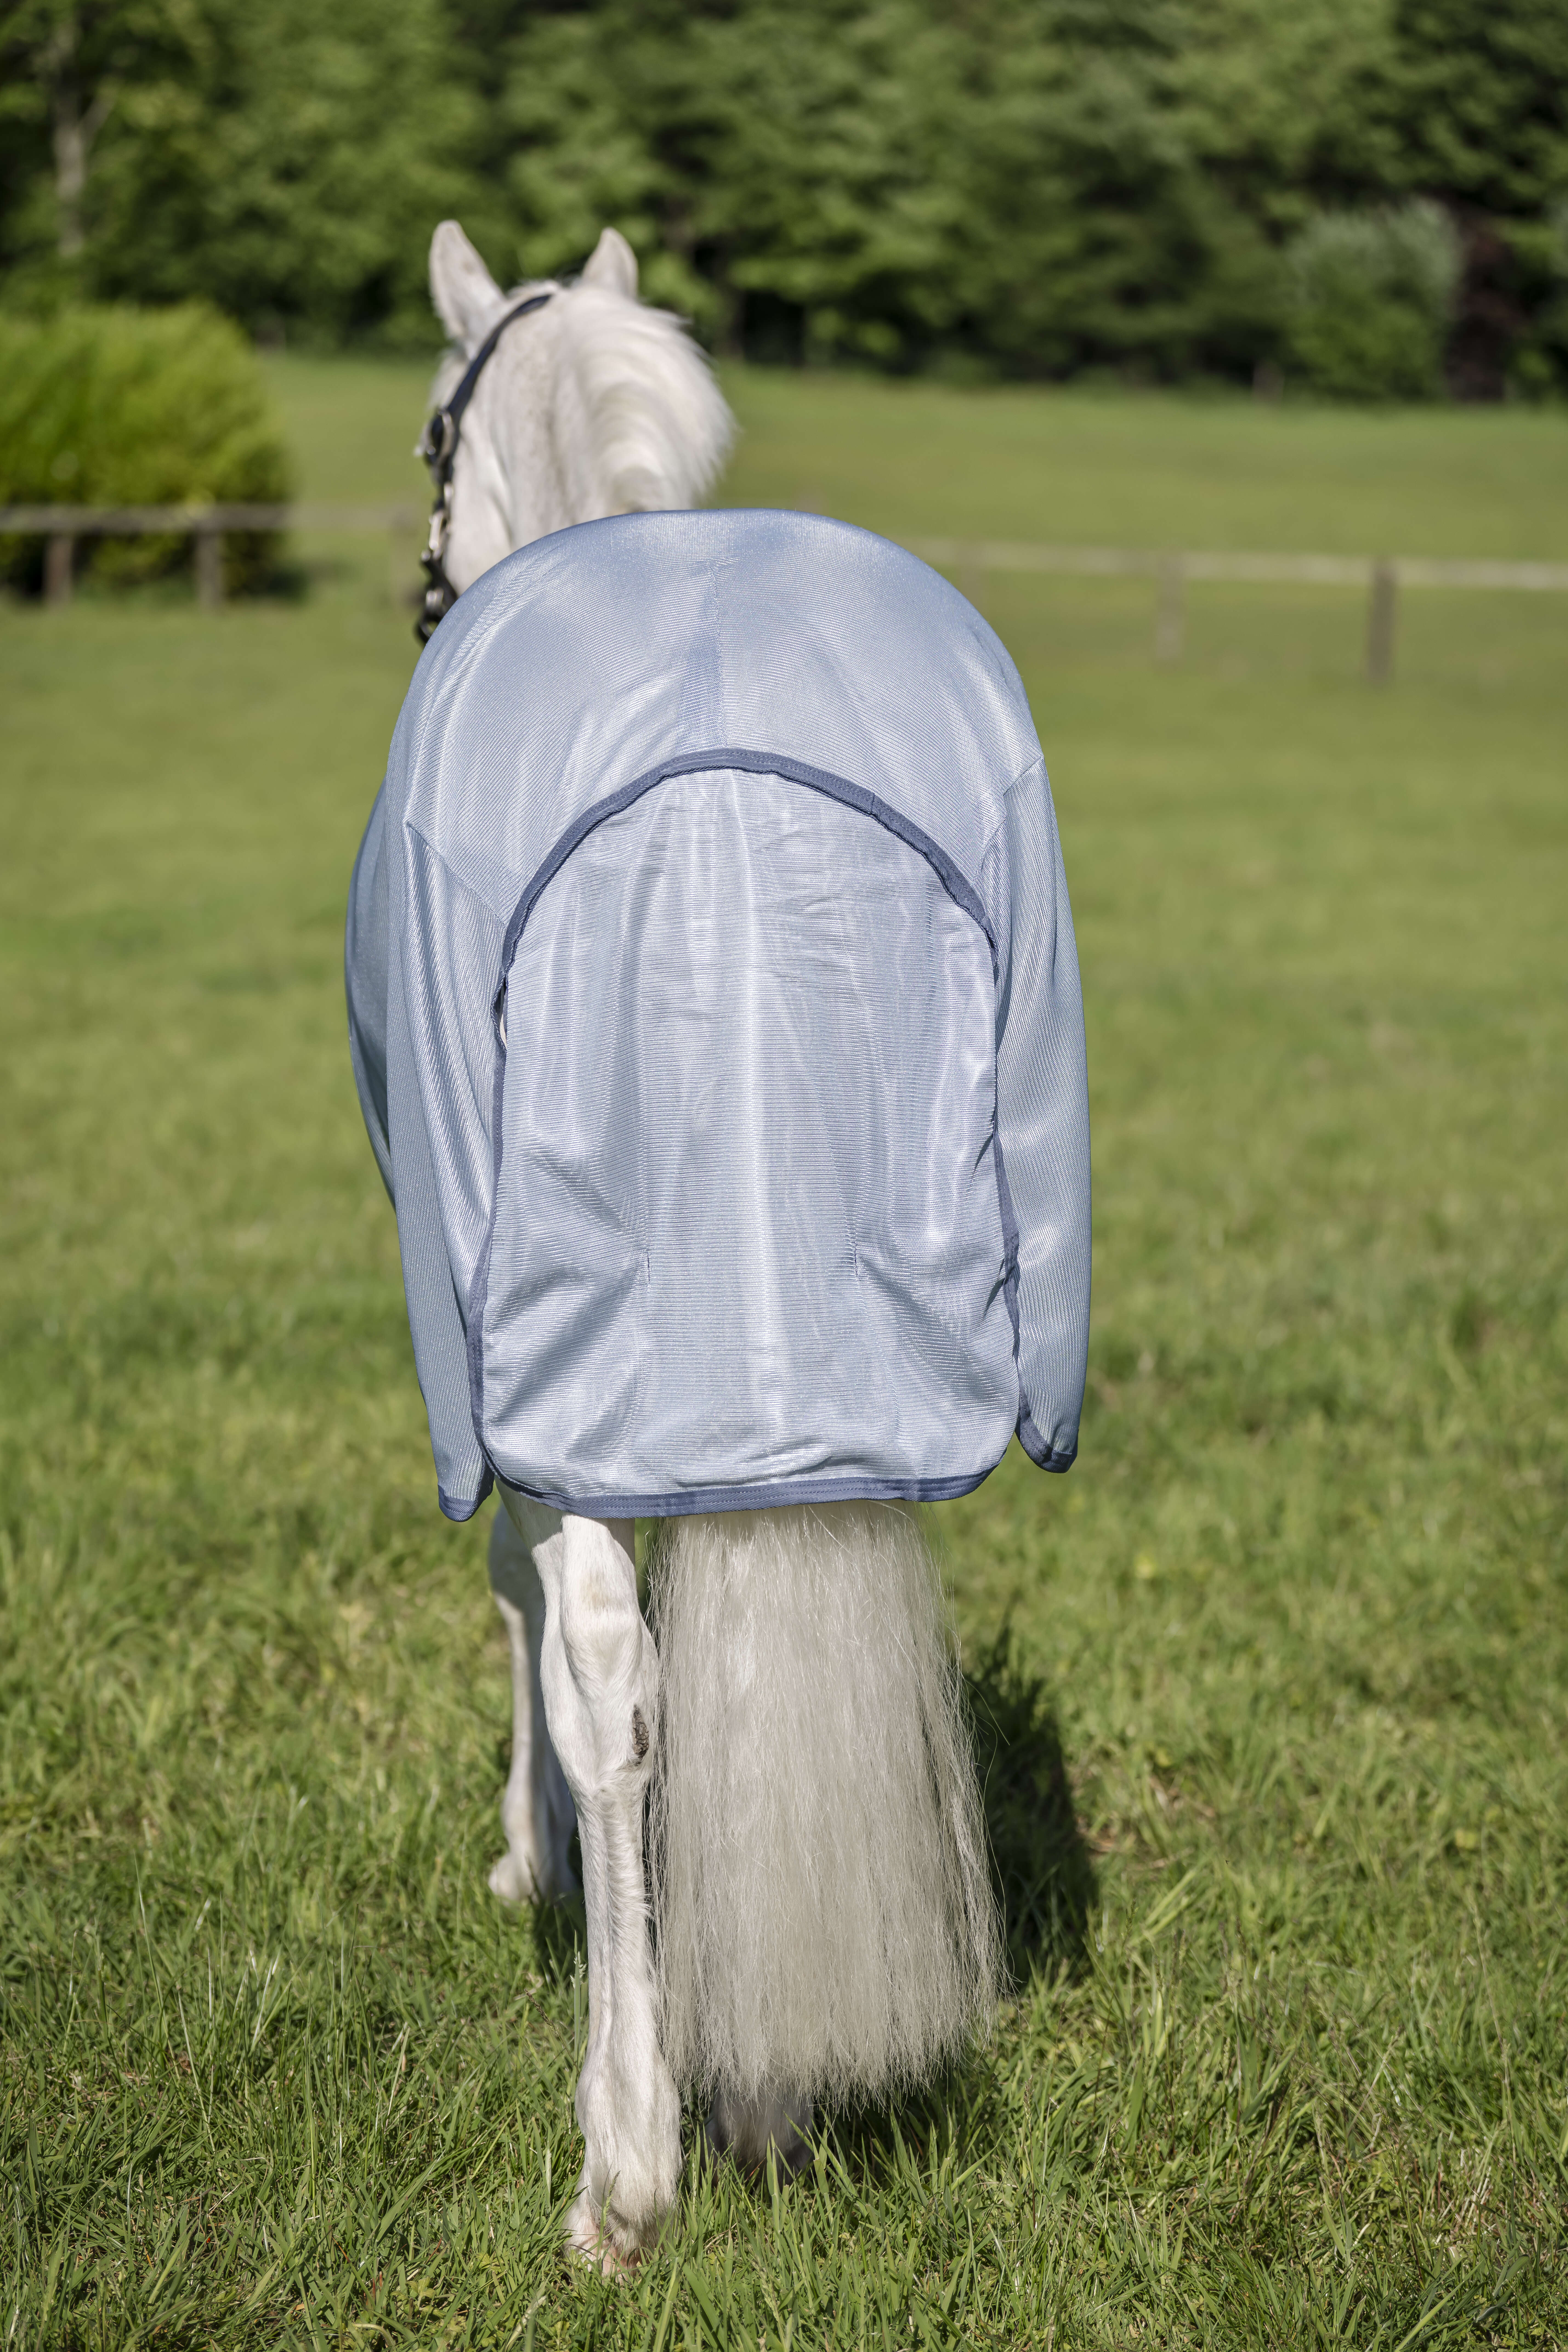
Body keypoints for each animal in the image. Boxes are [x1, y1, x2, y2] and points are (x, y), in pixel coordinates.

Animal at [345, 220, 1091, 2273]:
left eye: (430, 439)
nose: (420, 583)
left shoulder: (490, 1365)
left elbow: (533, 1613)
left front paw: (528, 1863)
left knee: (611, 1668)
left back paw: (628, 2157)